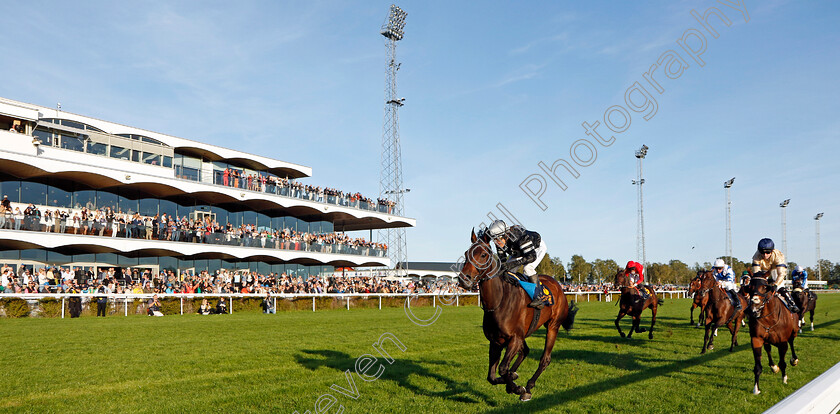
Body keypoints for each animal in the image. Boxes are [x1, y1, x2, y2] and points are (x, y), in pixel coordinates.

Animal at [460, 230, 576, 402]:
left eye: (483, 254)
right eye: (466, 253)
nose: (463, 279)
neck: (499, 301)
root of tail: (558, 285)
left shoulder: (514, 338)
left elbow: (502, 368)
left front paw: (518, 388)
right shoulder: (496, 341)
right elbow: (492, 377)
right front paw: (511, 381)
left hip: (553, 326)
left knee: (544, 359)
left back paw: (528, 387)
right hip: (524, 334)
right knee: (525, 352)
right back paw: (514, 376)